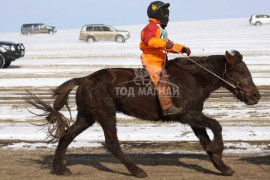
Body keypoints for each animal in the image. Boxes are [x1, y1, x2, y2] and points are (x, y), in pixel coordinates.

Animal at [26, 50, 260, 177]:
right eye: (241, 71)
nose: (256, 95)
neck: (192, 78)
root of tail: (83, 79)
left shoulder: (194, 117)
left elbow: (205, 140)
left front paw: (223, 167)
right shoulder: (185, 115)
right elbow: (216, 126)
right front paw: (218, 150)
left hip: (87, 117)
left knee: (66, 136)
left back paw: (59, 169)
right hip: (106, 114)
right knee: (112, 143)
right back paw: (137, 170)